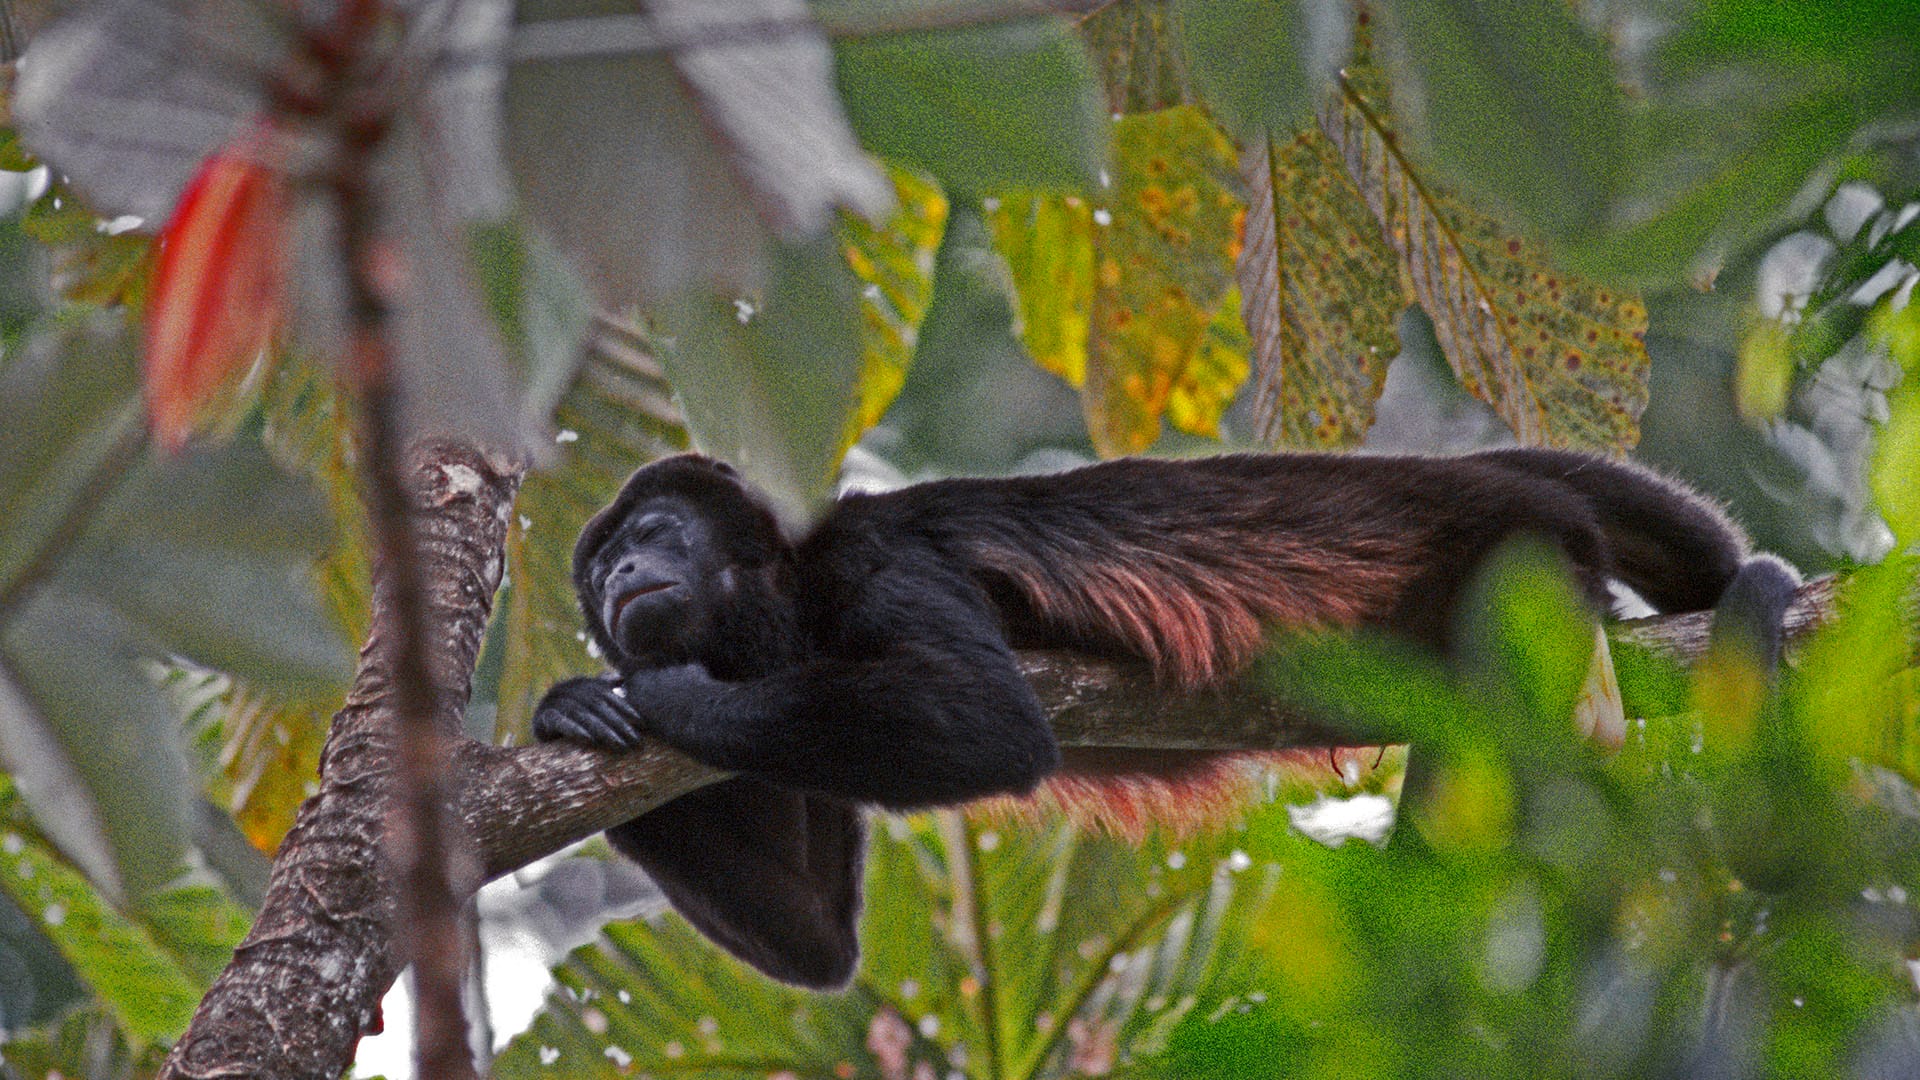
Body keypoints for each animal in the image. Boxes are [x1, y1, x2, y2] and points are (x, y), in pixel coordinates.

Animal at [532, 449, 1800, 988]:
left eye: (653, 531)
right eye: (598, 564)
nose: (619, 573)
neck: (782, 607)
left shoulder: (876, 561)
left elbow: (987, 723)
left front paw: (666, 695)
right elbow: (817, 938)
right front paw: (572, 709)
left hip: (1515, 553)